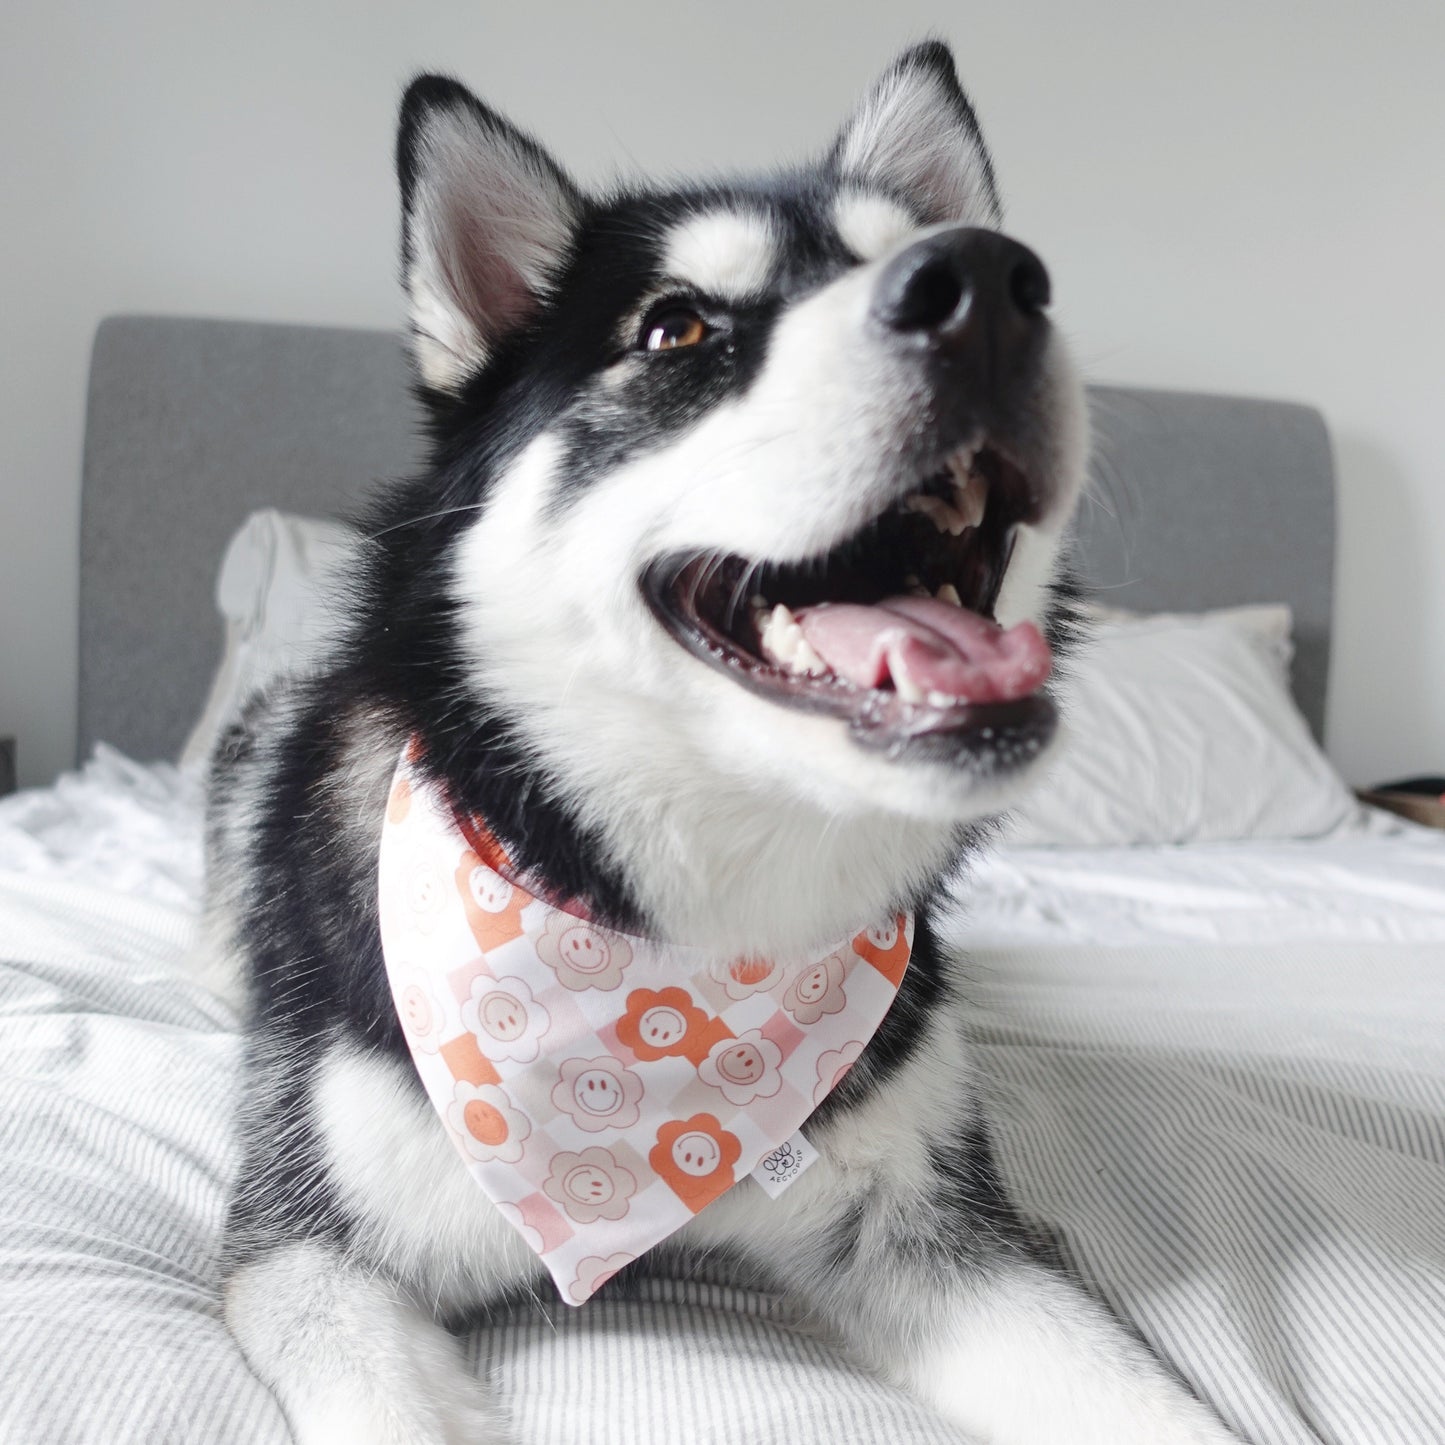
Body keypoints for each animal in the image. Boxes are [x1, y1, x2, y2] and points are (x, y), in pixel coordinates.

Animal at [213, 39, 1242, 1439]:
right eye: (677, 328)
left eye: (934, 249)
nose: (987, 282)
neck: (681, 937)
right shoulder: (305, 1249)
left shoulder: (934, 1234)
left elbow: (1141, 1396)